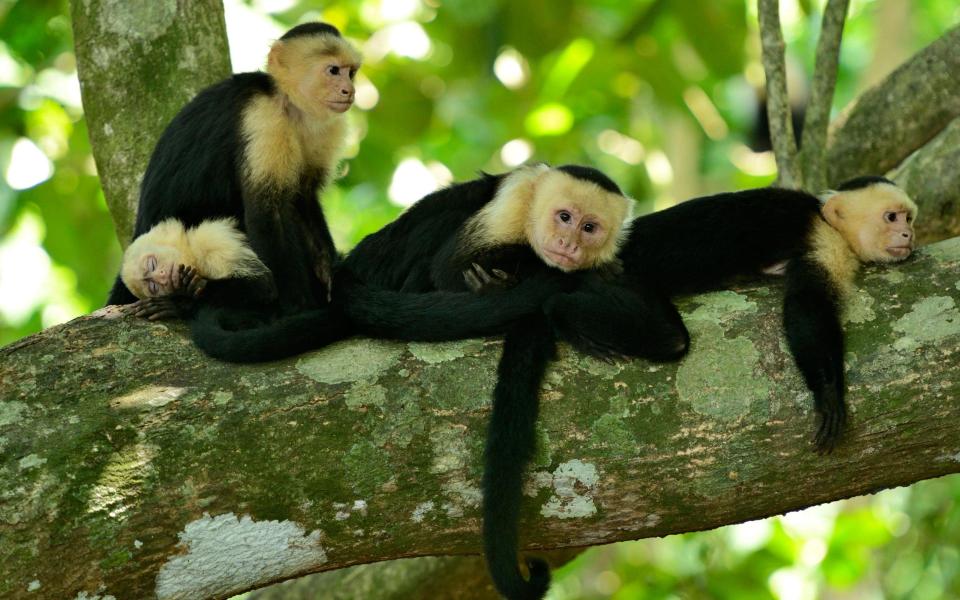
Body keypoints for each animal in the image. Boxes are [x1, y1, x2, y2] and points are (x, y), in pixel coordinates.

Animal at [105, 21, 360, 316]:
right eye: (333, 71)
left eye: (351, 73)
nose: (349, 90)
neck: (290, 105)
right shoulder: (261, 117)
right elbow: (268, 212)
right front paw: (298, 305)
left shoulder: (326, 128)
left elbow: (303, 198)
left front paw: (329, 273)